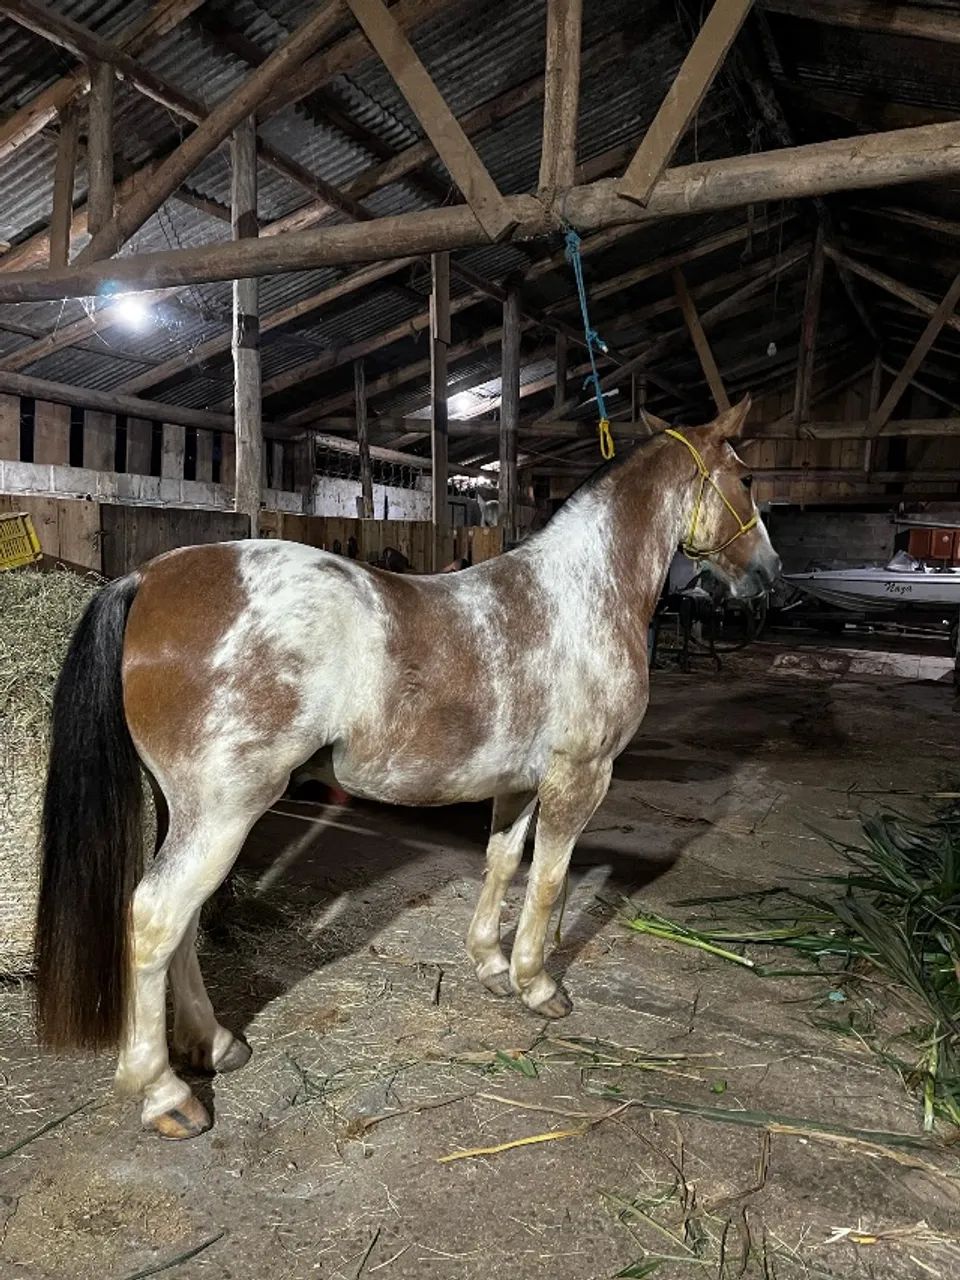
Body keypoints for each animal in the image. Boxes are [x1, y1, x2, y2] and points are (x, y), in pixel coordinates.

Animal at [34, 395, 779, 1140]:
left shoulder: (519, 785)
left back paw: (213, 1044)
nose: (771, 575)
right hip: (223, 813)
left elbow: (503, 863)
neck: (581, 595)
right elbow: (548, 880)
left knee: (184, 922)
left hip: (188, 814)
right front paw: (537, 983)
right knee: (156, 917)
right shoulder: (581, 776)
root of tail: (149, 579)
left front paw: (489, 963)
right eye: (746, 478)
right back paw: (163, 1094)